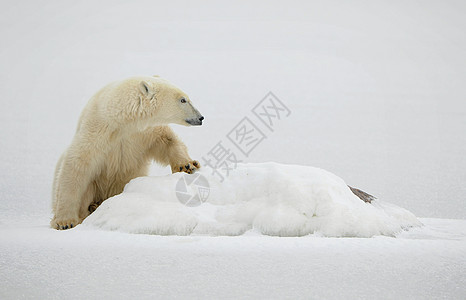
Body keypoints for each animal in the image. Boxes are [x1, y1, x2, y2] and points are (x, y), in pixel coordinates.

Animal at [51, 75, 204, 230]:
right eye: (183, 100)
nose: (201, 117)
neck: (122, 120)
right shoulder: (97, 130)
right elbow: (76, 164)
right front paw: (65, 222)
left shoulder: (143, 132)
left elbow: (166, 140)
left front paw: (187, 165)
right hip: (95, 186)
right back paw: (92, 207)